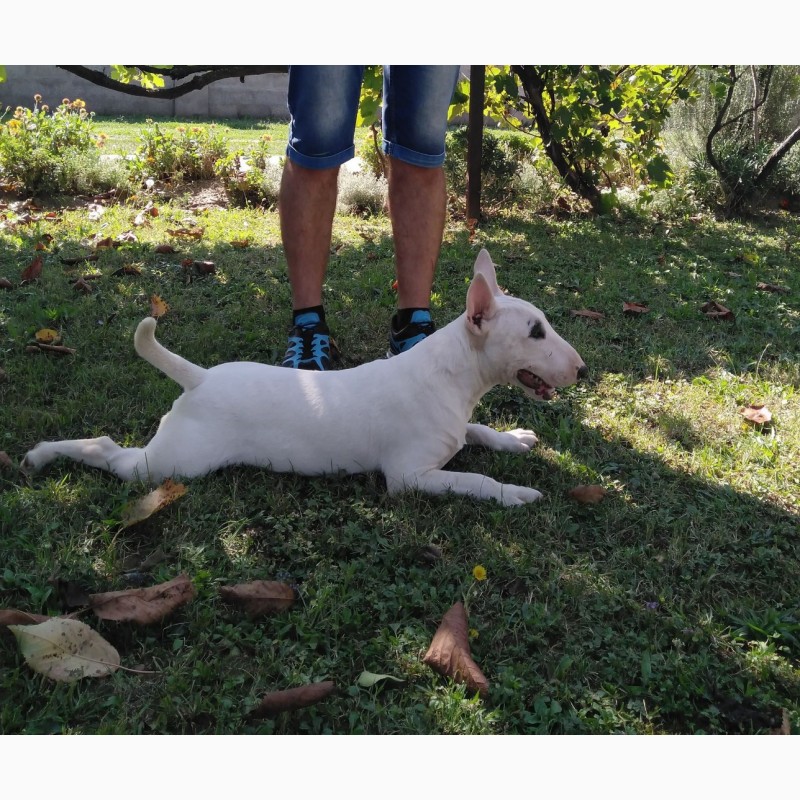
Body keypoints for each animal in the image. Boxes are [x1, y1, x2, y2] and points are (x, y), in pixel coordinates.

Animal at [23, 248, 588, 506]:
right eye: (536, 331)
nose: (582, 370)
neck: (450, 376)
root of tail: (200, 379)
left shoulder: (454, 426)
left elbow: (479, 431)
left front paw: (514, 438)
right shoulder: (408, 477)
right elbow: (471, 479)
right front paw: (513, 492)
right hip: (175, 463)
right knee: (110, 452)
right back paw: (42, 455)